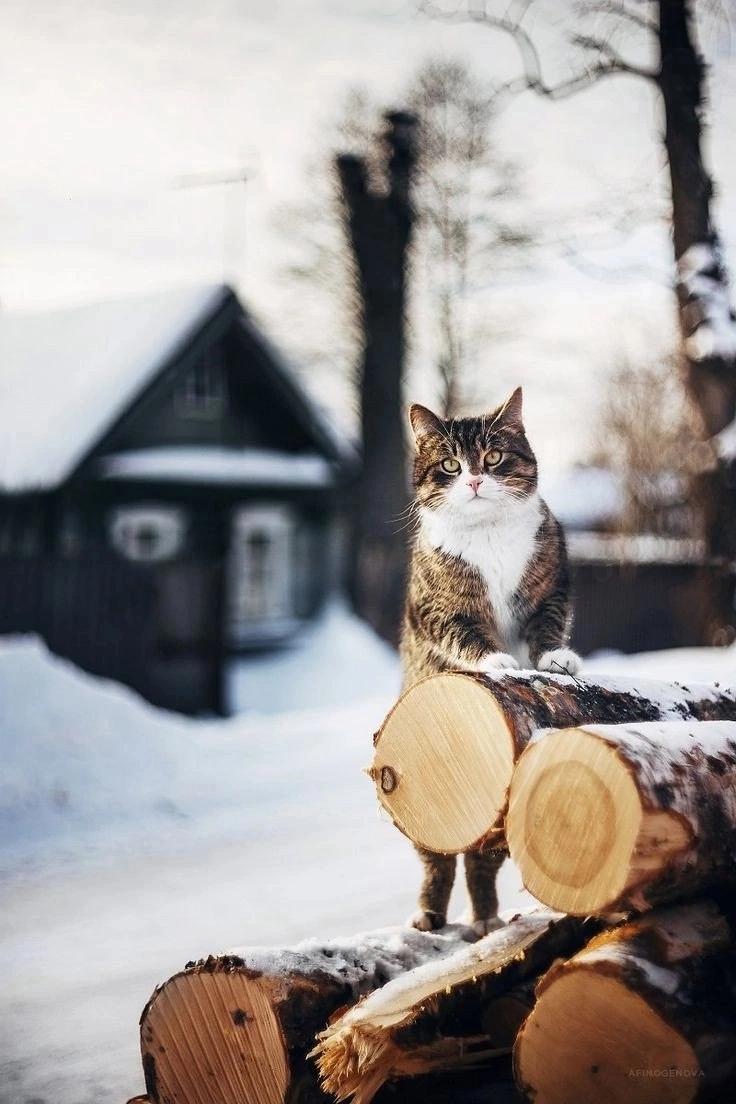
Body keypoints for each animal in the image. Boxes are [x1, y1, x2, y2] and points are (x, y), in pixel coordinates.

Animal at [397, 384, 582, 936]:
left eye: (494, 457)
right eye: (450, 465)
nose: (476, 479)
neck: (488, 536)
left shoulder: (550, 588)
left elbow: (546, 627)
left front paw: (557, 660)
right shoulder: (440, 609)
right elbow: (465, 634)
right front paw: (498, 662)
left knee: (481, 860)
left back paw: (485, 919)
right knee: (436, 860)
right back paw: (429, 914)